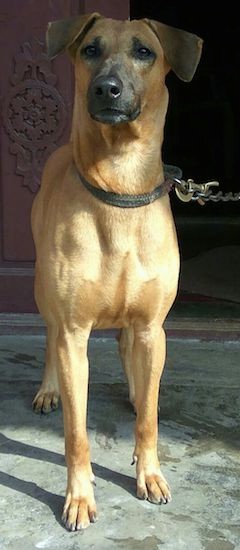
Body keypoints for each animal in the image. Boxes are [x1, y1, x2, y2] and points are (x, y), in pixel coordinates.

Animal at [30, 11, 202, 532]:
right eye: (91, 49)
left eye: (144, 51)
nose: (107, 88)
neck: (120, 187)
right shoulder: (74, 331)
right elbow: (76, 434)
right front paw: (79, 497)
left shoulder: (152, 325)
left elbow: (149, 419)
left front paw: (150, 474)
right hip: (43, 290)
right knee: (49, 335)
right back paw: (49, 389)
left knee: (132, 354)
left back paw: (136, 387)